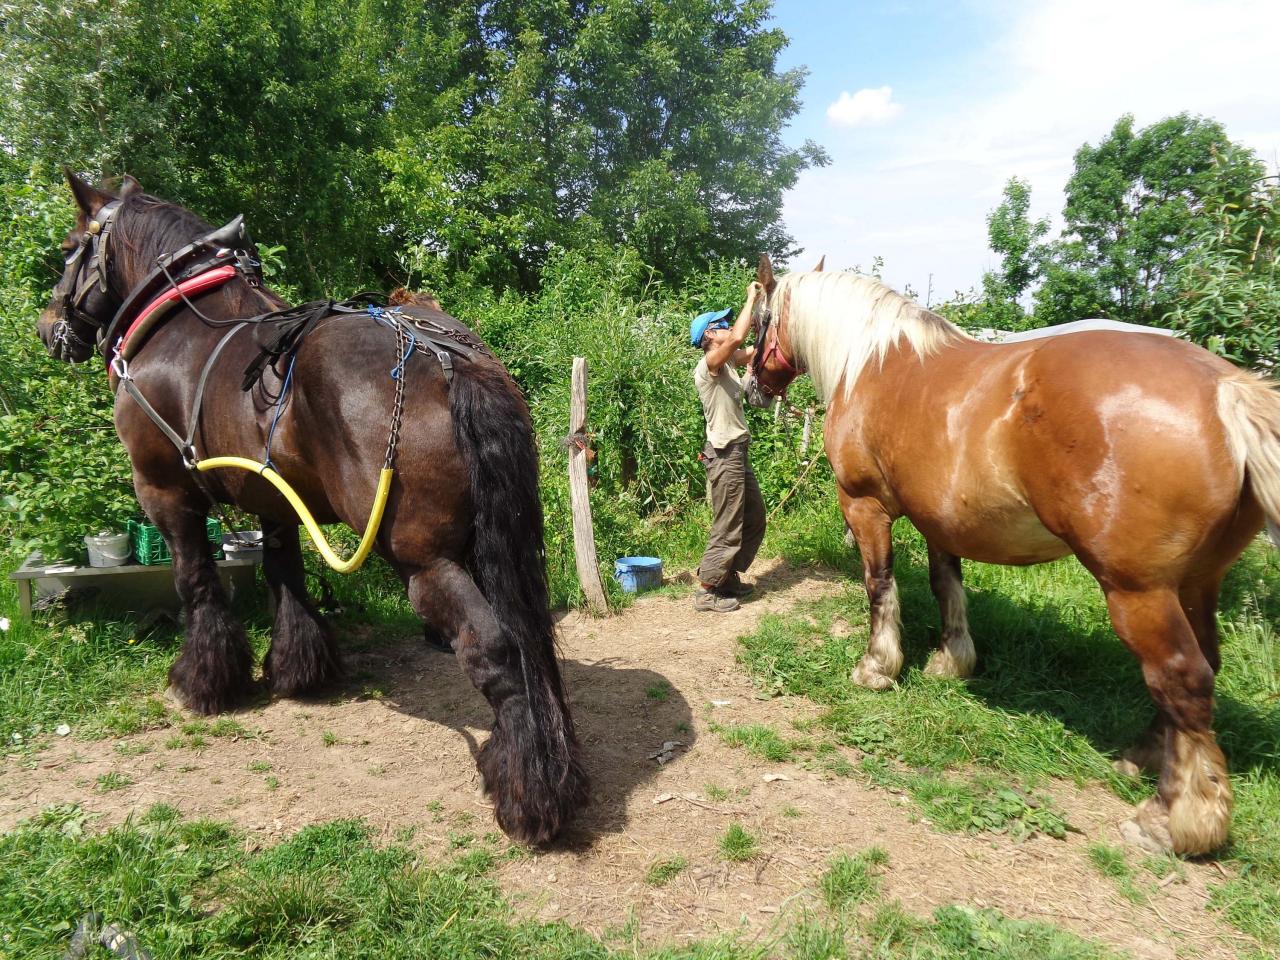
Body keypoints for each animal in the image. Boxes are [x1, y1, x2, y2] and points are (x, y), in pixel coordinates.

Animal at [35, 171, 588, 845]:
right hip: (489, 545)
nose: (48, 327)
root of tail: (446, 357)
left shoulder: (163, 491)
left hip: (424, 562)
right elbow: (285, 578)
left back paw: (527, 790)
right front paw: (299, 668)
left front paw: (204, 680)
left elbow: (196, 582)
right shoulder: (271, 498)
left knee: (496, 647)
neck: (177, 324)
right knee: (530, 639)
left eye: (69, 249)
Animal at [744, 254, 1280, 856]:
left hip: (1138, 591)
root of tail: (1227, 389)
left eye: (759, 320)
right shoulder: (939, 521)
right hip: (1197, 583)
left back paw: (1172, 817)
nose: (752, 389)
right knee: (1200, 669)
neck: (872, 363)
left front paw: (877, 667)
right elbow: (947, 586)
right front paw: (951, 663)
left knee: (1181, 678)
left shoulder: (865, 507)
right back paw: (1142, 758)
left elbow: (880, 585)